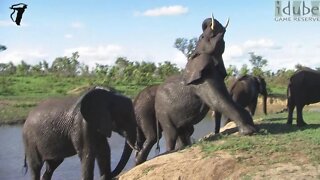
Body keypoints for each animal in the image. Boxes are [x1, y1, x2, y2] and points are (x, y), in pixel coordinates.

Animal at [154, 15, 258, 152]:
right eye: (202, 37)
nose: (208, 21)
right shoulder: (202, 82)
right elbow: (218, 102)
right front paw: (249, 132)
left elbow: (225, 100)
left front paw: (253, 127)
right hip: (163, 115)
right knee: (171, 133)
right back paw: (172, 151)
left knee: (183, 131)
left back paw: (184, 147)